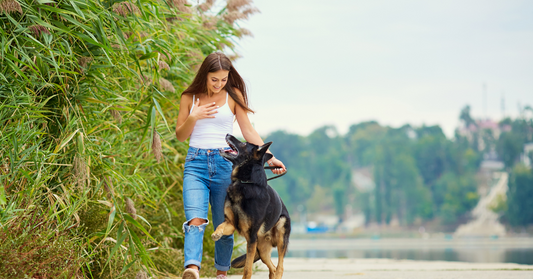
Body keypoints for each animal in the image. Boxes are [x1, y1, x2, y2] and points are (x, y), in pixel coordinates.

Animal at [211, 135, 290, 278]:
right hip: (262, 251)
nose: (228, 134)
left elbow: (247, 269)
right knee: (273, 268)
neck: (244, 182)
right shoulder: (231, 224)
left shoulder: (251, 238)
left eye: (244, 143)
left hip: (280, 235)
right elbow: (220, 225)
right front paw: (216, 234)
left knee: (280, 268)